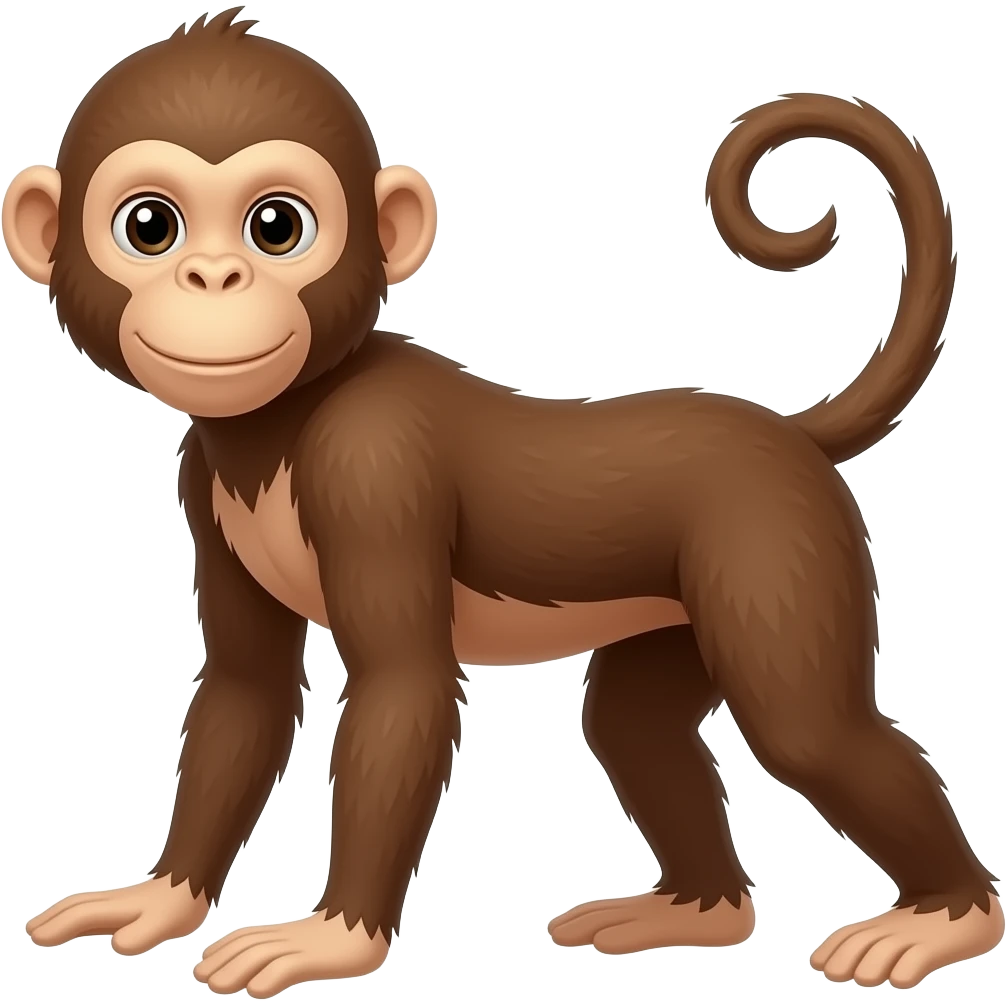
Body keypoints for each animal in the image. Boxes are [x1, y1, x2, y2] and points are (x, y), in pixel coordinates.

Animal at [3, 8, 1000, 997]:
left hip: (774, 545)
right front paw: (163, 896)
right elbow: (246, 692)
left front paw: (334, 937)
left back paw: (948, 915)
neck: (287, 417)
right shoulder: (200, 485)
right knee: (631, 727)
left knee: (809, 733)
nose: (213, 278)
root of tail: (787, 434)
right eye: (150, 226)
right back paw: (697, 910)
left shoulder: (371, 465)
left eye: (276, 226)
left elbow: (402, 685)